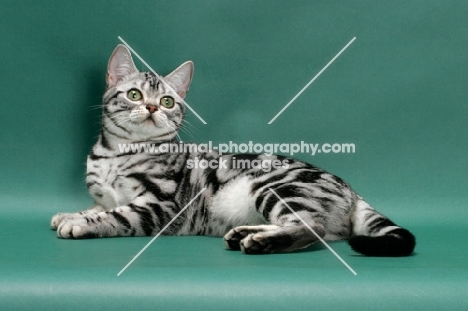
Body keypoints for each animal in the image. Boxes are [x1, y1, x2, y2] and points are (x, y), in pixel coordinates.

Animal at [51, 45, 416, 258]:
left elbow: (114, 216)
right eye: (135, 95)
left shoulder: (158, 206)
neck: (117, 155)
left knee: (313, 228)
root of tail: (351, 190)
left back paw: (260, 242)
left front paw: (80, 224)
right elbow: (96, 207)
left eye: (167, 101)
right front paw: (70, 214)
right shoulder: (105, 196)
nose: (153, 108)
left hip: (275, 187)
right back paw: (245, 233)